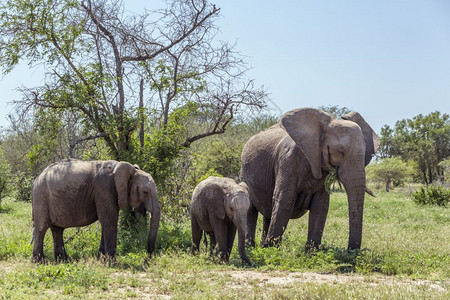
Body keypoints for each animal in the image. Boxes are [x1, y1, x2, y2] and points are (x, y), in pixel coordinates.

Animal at [31, 159, 160, 262]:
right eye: (145, 192)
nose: (147, 259)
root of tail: (37, 178)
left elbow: (106, 222)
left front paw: (101, 260)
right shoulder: (105, 189)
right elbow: (109, 221)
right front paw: (112, 263)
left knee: (57, 230)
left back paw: (64, 260)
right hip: (41, 197)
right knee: (41, 228)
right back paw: (40, 262)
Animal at [241, 109, 378, 250]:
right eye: (340, 151)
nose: (350, 251)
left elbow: (320, 206)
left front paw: (311, 251)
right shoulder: (287, 161)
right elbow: (284, 201)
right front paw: (271, 250)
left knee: (268, 213)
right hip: (244, 173)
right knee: (251, 210)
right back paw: (251, 248)